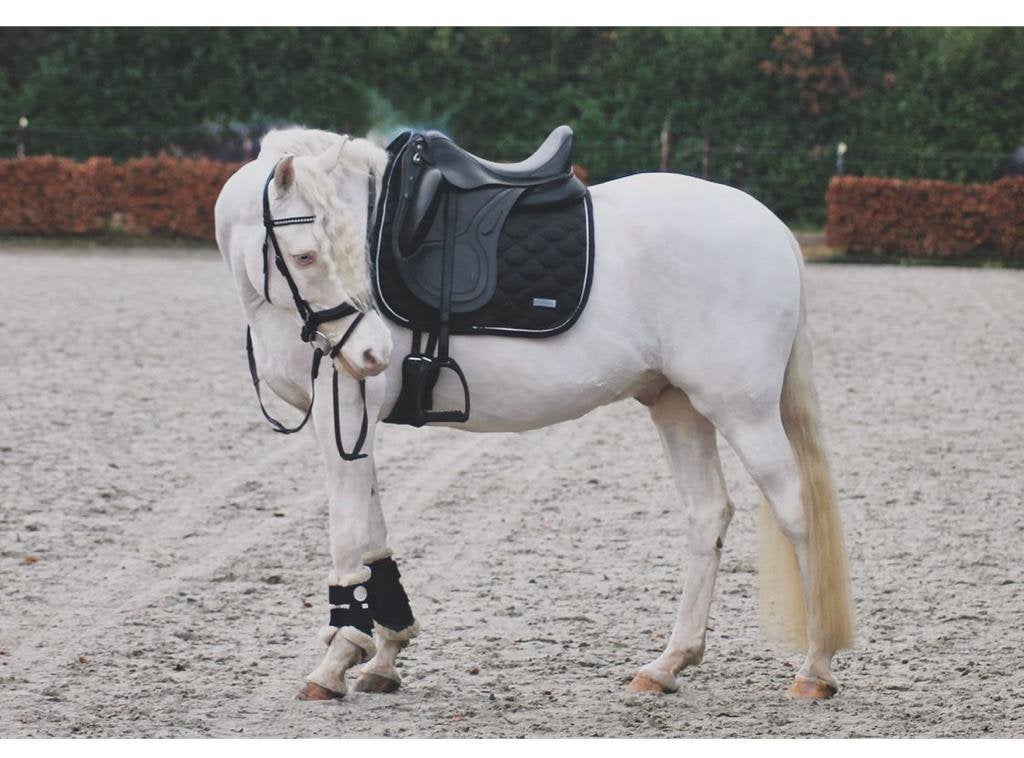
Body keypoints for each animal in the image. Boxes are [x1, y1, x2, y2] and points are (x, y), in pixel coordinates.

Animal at [213, 127, 853, 701]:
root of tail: (770, 226)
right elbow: (373, 536)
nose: (374, 355)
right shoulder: (356, 422)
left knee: (797, 512)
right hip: (680, 406)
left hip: (742, 411)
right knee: (707, 515)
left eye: (342, 253)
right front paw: (386, 653)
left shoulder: (344, 409)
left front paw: (338, 660)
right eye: (305, 255)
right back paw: (668, 664)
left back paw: (815, 669)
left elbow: (348, 534)